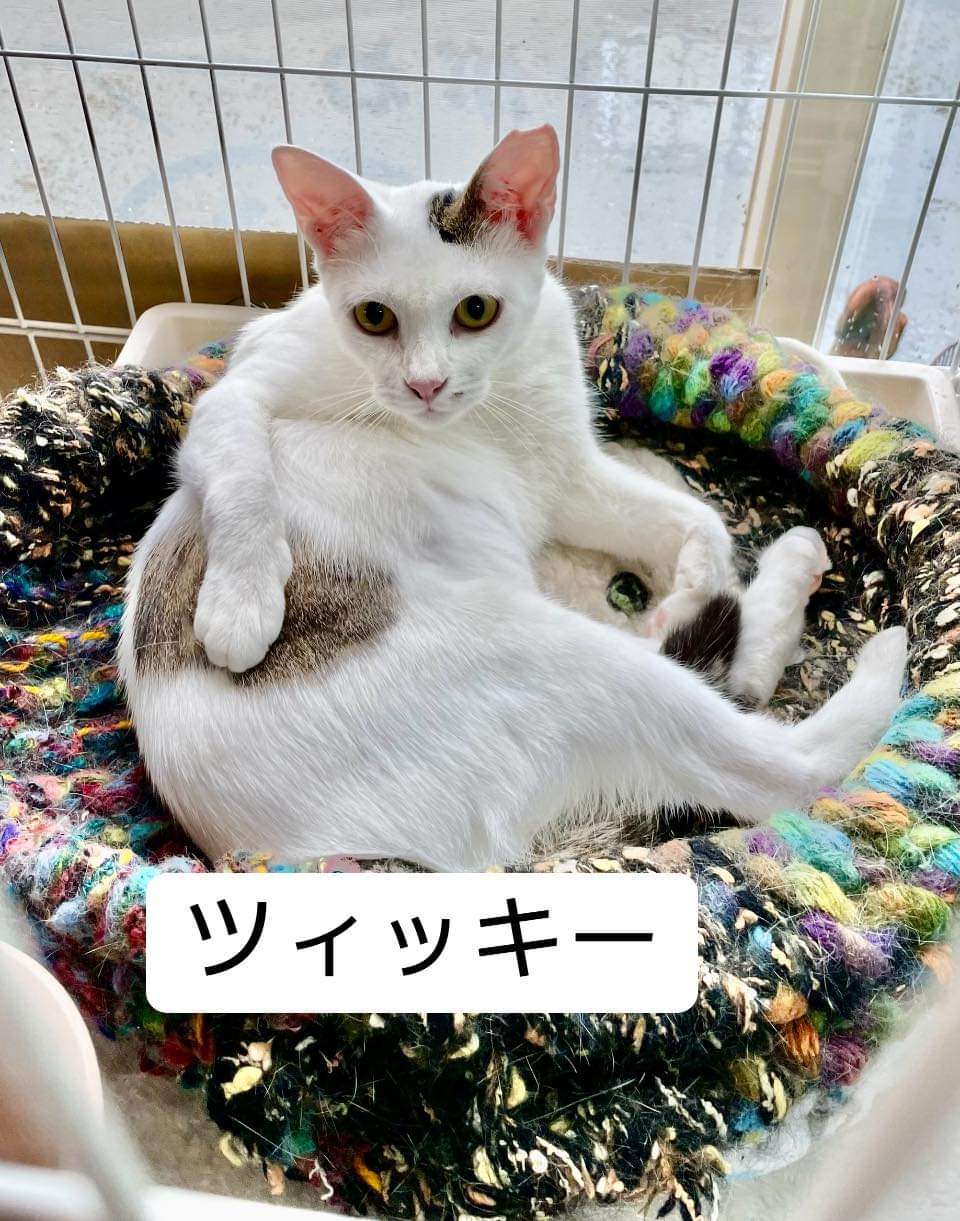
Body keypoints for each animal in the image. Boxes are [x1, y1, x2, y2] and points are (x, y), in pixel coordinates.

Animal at [118, 125, 906, 871]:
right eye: (374, 317)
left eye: (476, 310)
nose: (426, 384)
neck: (495, 405)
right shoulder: (236, 393)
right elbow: (239, 462)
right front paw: (241, 604)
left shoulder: (565, 476)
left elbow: (700, 519)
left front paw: (693, 581)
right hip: (566, 661)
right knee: (780, 763)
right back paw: (882, 655)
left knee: (734, 681)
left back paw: (779, 571)